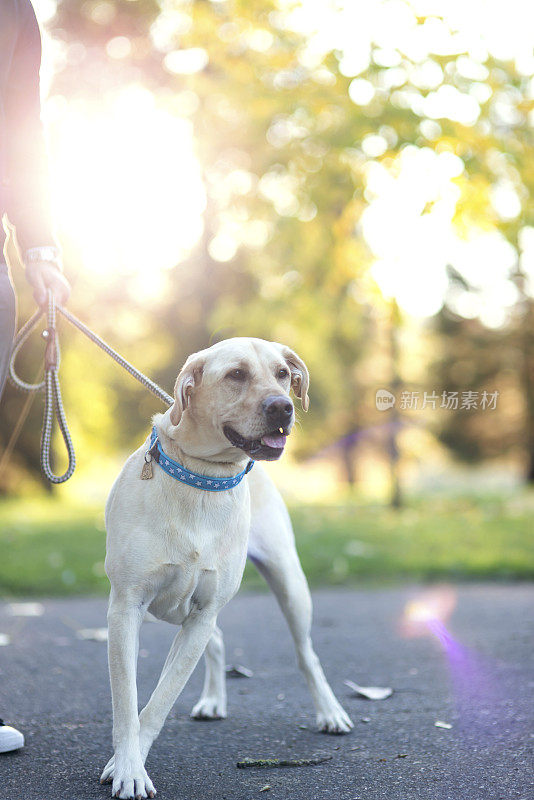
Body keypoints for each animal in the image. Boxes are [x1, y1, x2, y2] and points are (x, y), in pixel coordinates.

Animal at [100, 340, 354, 800]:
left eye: (283, 374)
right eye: (236, 374)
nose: (282, 406)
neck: (203, 477)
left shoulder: (202, 612)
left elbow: (160, 701)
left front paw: (129, 762)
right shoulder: (127, 608)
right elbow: (128, 702)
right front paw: (129, 766)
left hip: (289, 583)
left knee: (306, 653)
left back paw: (329, 711)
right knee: (216, 643)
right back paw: (214, 700)